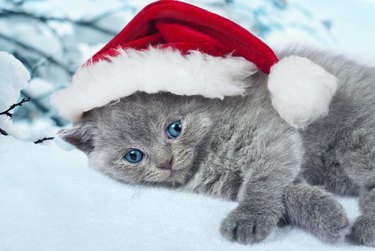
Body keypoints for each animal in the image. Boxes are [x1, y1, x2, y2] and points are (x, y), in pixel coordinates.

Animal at [59, 47, 375, 247]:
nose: (166, 162)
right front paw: (329, 216)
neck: (208, 153)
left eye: (174, 128)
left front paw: (248, 218)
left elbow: (262, 181)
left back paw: (365, 228)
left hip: (358, 139)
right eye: (133, 156)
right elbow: (288, 191)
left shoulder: (271, 136)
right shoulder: (232, 181)